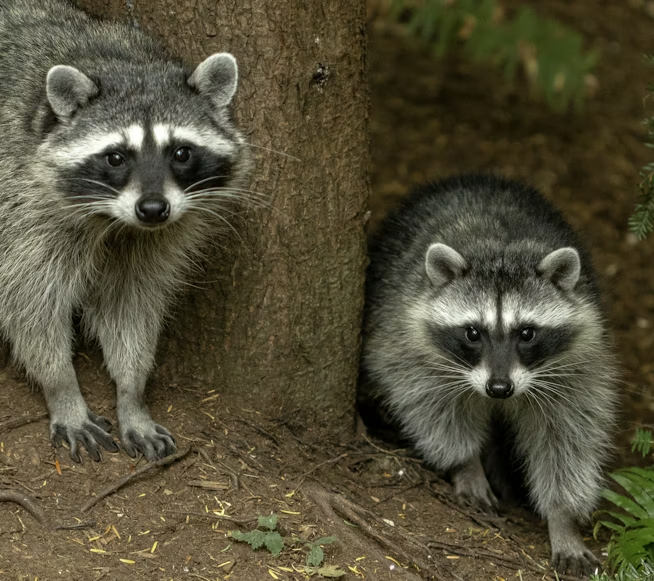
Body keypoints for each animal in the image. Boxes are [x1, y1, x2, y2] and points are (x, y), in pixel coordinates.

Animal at [0, 0, 249, 462]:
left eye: (181, 153)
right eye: (116, 157)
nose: (153, 209)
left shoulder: (153, 239)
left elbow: (132, 305)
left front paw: (132, 394)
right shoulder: (20, 208)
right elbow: (29, 305)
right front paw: (63, 389)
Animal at [362, 175, 618, 576]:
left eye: (526, 333)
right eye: (473, 333)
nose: (499, 388)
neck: (501, 248)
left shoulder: (577, 364)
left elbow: (566, 439)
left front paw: (562, 519)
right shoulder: (409, 339)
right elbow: (431, 407)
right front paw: (467, 464)